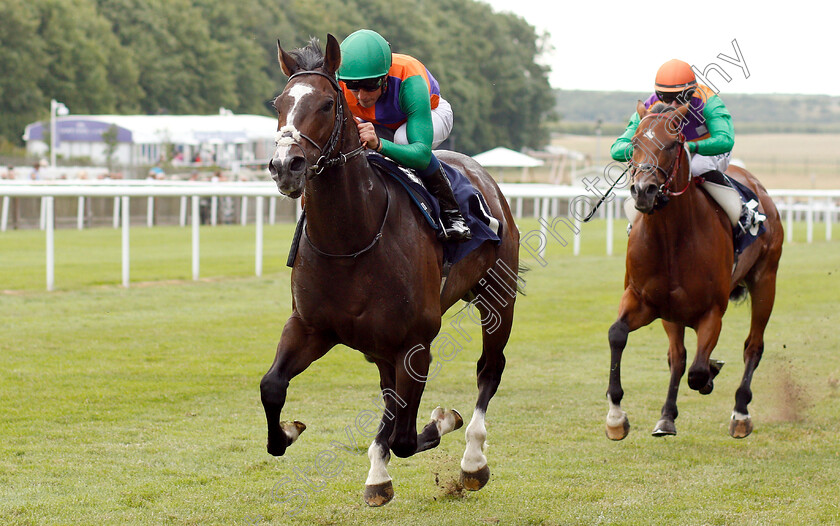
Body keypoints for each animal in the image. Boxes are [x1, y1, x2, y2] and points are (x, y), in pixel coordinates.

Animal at [262, 35, 524, 510]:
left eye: (326, 104)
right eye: (279, 103)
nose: (285, 165)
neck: (351, 240)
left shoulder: (416, 342)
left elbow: (406, 434)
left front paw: (441, 423)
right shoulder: (311, 326)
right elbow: (272, 385)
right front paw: (287, 433)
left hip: (498, 297)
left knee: (488, 370)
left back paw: (472, 461)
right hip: (382, 344)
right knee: (392, 397)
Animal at [608, 102, 784, 442]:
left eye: (672, 144)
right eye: (634, 143)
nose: (643, 191)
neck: (671, 237)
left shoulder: (712, 310)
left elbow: (699, 371)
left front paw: (711, 375)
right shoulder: (643, 300)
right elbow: (617, 335)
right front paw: (616, 417)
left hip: (765, 280)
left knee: (753, 346)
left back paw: (741, 413)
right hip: (671, 313)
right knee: (677, 357)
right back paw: (666, 417)